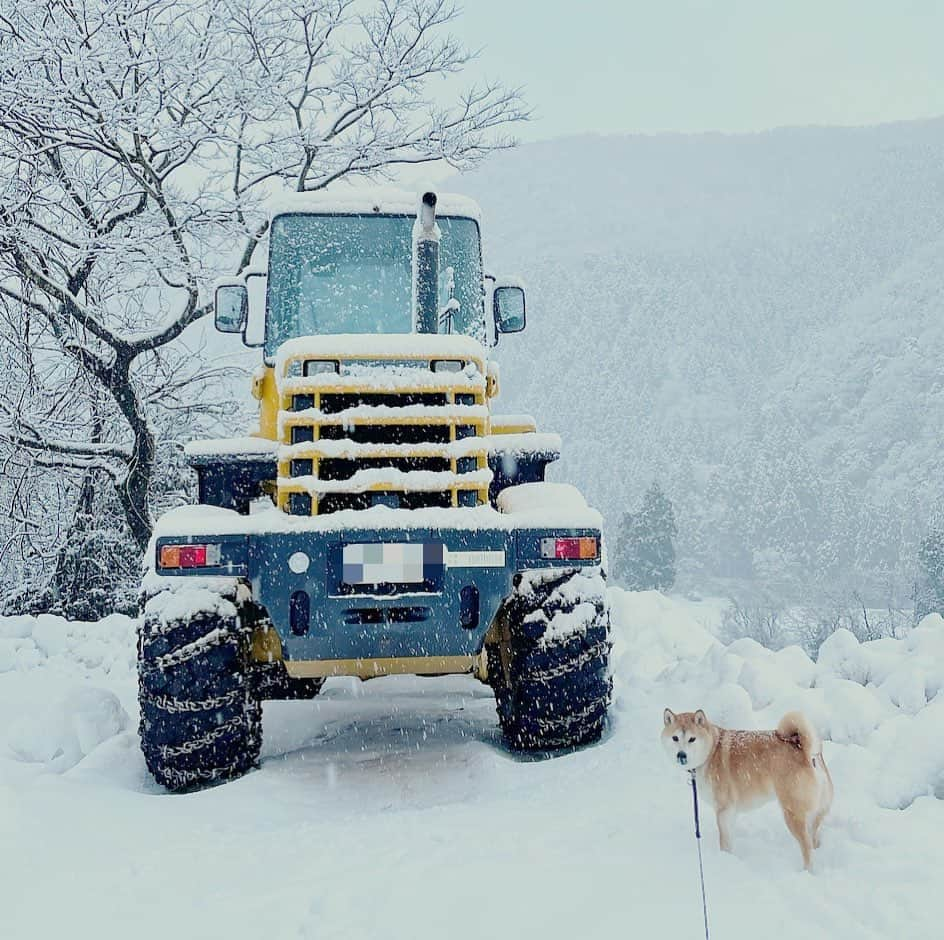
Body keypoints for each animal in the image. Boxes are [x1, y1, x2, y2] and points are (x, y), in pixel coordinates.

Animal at [664, 708, 832, 872]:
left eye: (692, 739)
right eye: (675, 738)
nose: (681, 755)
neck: (711, 752)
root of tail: (806, 750)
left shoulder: (723, 810)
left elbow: (724, 841)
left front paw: (725, 859)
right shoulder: (730, 812)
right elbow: (729, 837)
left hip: (793, 813)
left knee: (807, 847)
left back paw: (807, 871)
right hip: (816, 813)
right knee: (814, 838)